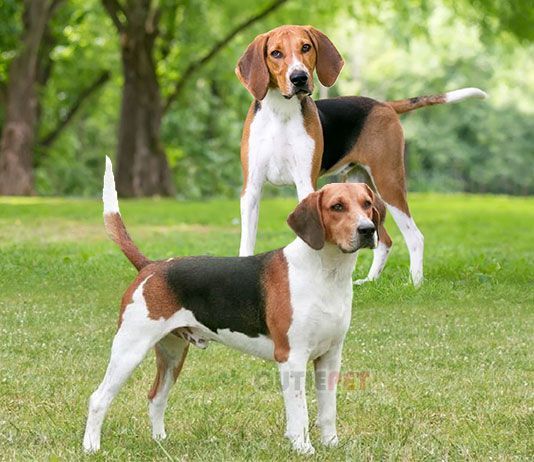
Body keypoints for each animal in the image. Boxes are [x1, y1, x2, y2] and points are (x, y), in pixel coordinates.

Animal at [81, 158, 384, 454]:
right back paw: (91, 447)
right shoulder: (292, 357)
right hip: (129, 349)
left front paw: (331, 444)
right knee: (99, 398)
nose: (367, 230)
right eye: (337, 207)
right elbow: (300, 411)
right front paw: (302, 448)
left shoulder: (330, 356)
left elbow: (327, 410)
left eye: (367, 204)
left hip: (173, 353)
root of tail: (151, 266)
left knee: (156, 397)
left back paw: (160, 441)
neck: (326, 272)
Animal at [237, 25, 488, 286]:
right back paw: (370, 281)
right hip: (360, 185)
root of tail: (384, 104)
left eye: (305, 47)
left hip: (388, 181)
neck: (280, 113)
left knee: (414, 237)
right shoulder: (251, 188)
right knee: (384, 240)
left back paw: (415, 284)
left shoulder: (305, 183)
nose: (299, 78)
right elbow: (247, 242)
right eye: (275, 53)